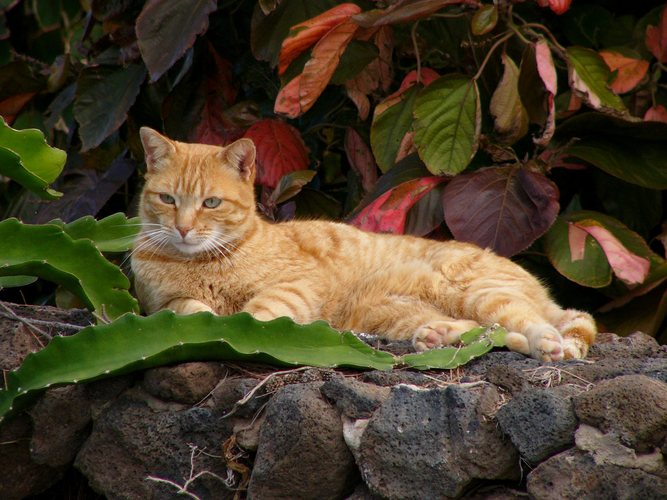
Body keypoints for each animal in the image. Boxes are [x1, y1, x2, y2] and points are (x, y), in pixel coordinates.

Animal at [132, 127, 600, 362]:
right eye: (167, 199)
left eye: (210, 203)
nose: (183, 229)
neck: (203, 262)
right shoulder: (162, 305)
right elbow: (190, 311)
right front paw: (211, 321)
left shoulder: (295, 286)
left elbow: (257, 314)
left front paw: (236, 329)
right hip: (392, 315)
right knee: (485, 330)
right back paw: (439, 336)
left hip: (480, 292)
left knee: (528, 322)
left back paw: (545, 345)